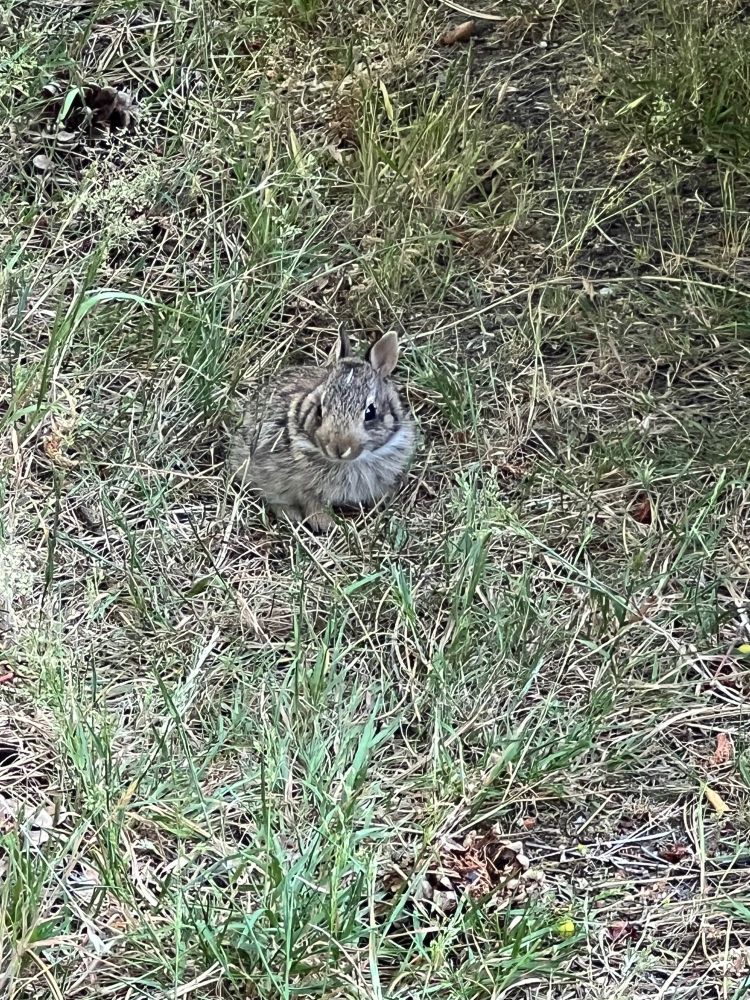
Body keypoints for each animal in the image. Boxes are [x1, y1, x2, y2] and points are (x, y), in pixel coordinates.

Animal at [228, 330, 416, 532]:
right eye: (319, 409)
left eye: (370, 412)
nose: (338, 448)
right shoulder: (302, 485)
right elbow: (312, 503)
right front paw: (325, 523)